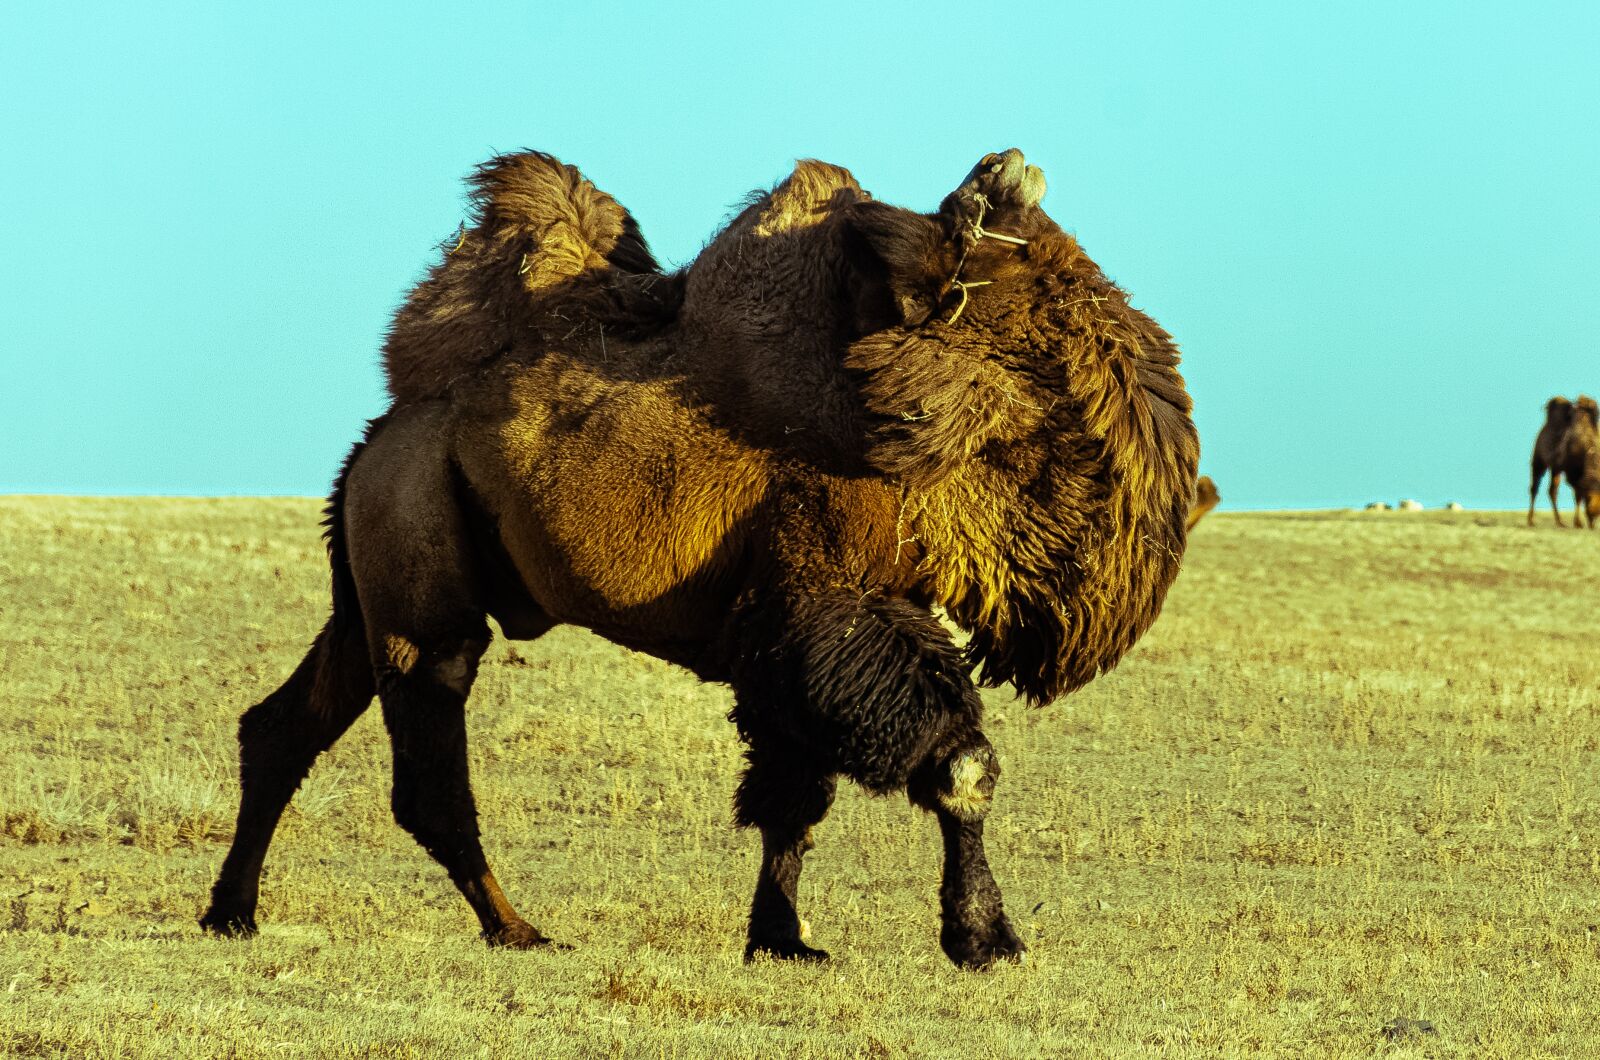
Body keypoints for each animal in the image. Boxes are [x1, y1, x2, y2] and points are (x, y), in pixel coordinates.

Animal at [201, 148, 1199, 969]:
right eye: (1032, 306)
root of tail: (381, 435)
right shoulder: (825, 604)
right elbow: (955, 766)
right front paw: (985, 939)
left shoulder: (791, 637)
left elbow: (794, 793)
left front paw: (785, 939)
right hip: (420, 580)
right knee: (427, 768)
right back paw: (517, 929)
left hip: (368, 586)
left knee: (284, 725)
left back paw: (232, 913)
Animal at [1529, 396, 1575, 525]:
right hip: (1539, 462)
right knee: (1535, 488)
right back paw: (1531, 520)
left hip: (1554, 468)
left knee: (1551, 490)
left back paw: (1559, 522)